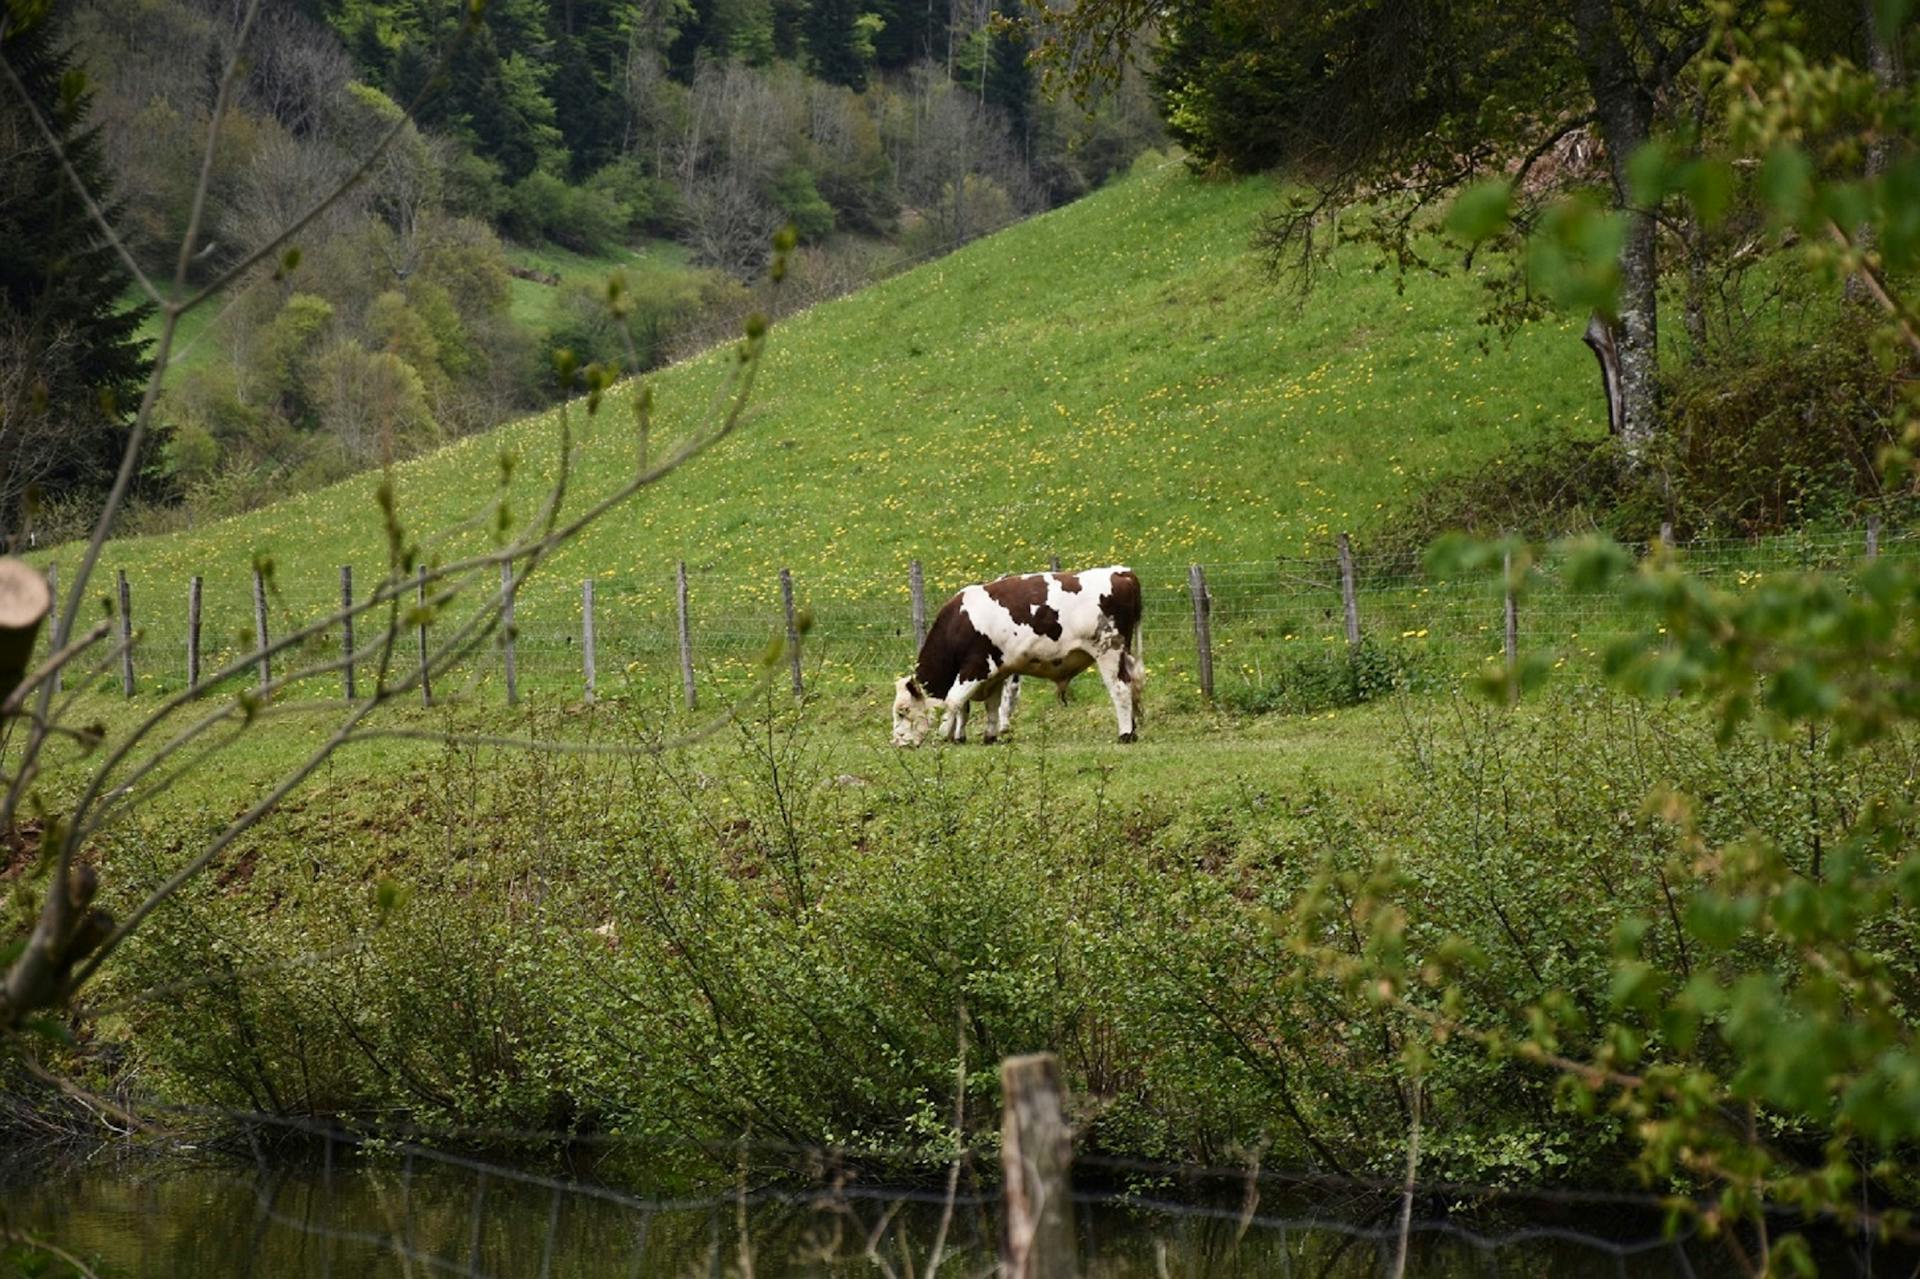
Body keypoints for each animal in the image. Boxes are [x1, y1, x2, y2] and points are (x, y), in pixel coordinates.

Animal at [894, 564, 1144, 741]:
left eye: (903, 711)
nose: (896, 741)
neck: (958, 624)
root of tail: (1121, 572)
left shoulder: (976, 668)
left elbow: (954, 701)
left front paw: (943, 734)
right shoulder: (994, 674)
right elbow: (989, 705)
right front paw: (986, 736)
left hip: (1109, 651)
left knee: (1120, 689)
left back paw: (1125, 734)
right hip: (1126, 654)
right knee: (1134, 685)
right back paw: (1133, 729)